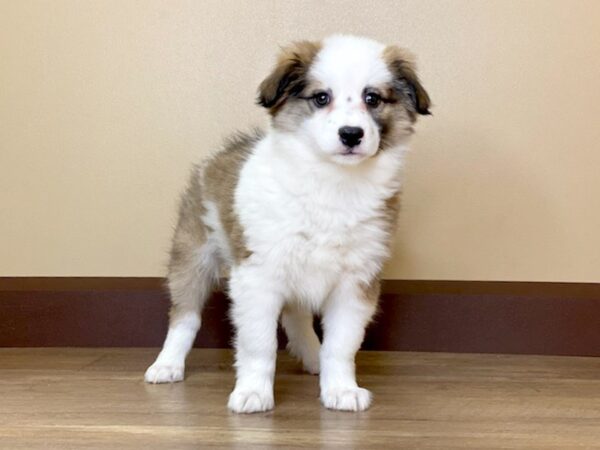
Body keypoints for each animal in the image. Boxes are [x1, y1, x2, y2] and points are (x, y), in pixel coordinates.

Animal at [145, 34, 432, 414]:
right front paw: (253, 392)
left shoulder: (355, 282)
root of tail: (216, 155)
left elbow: (341, 345)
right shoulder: (257, 277)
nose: (351, 134)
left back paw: (313, 356)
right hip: (192, 257)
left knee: (296, 317)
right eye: (321, 98)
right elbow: (259, 344)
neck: (331, 182)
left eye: (372, 98)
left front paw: (340, 389)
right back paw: (167, 364)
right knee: (185, 315)